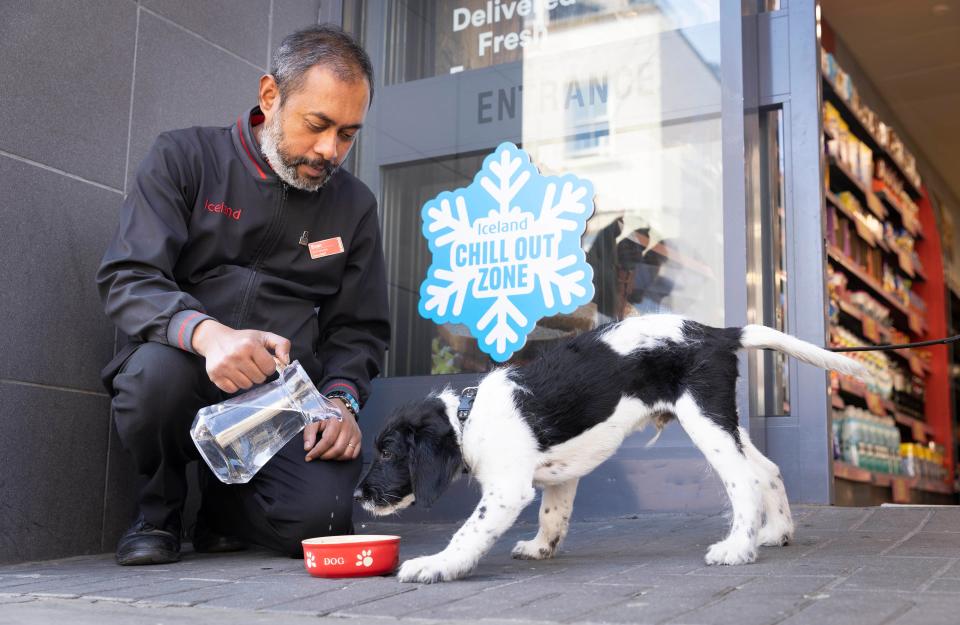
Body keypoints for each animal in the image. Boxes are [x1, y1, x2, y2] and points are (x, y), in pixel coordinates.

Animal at [356, 314, 868, 584]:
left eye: (387, 453)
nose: (359, 496)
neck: (467, 417)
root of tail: (716, 333)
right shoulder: (559, 475)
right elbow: (553, 516)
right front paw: (541, 548)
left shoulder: (505, 490)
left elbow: (468, 533)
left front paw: (437, 565)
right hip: (724, 422)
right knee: (766, 469)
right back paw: (777, 532)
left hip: (704, 417)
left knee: (743, 479)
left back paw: (737, 548)